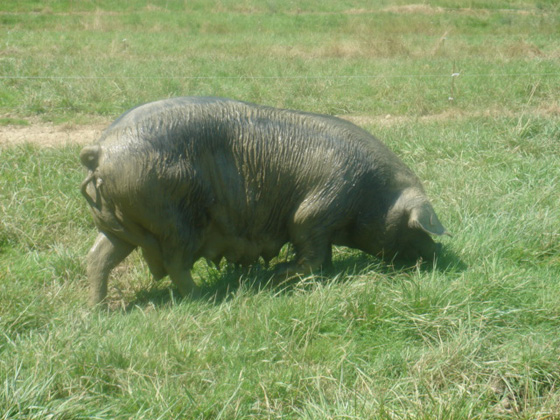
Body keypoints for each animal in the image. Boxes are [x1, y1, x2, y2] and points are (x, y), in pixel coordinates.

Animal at [80, 96, 450, 306]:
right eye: (416, 228)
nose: (440, 253)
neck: (373, 194)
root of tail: (101, 149)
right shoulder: (316, 211)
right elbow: (311, 250)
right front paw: (279, 275)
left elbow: (322, 257)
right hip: (174, 218)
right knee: (174, 263)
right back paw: (206, 298)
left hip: (121, 224)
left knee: (97, 258)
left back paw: (97, 311)